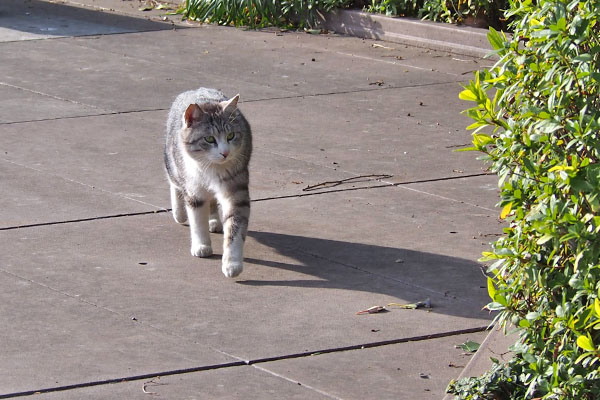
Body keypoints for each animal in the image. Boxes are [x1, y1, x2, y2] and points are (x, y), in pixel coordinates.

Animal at [163, 87, 252, 276]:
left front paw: (232, 264)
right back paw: (179, 213)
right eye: (209, 139)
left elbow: (234, 227)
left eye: (231, 136)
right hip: (173, 162)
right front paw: (201, 246)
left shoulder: (236, 190)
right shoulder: (194, 190)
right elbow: (197, 221)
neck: (211, 169)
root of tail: (196, 90)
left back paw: (214, 221)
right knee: (174, 183)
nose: (225, 153)